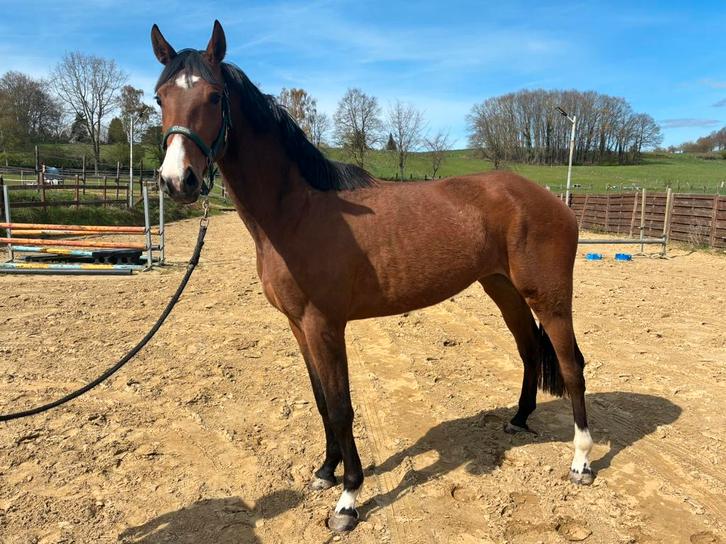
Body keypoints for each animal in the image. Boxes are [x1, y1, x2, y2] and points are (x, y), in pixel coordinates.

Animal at [150, 20, 594, 533]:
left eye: (215, 96)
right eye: (160, 97)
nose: (177, 180)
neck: (297, 212)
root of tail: (553, 201)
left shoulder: (324, 325)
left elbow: (342, 407)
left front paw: (348, 499)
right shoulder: (298, 326)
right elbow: (321, 401)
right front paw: (326, 471)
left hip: (550, 298)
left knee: (572, 365)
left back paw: (582, 462)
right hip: (502, 288)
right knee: (527, 350)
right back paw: (519, 419)